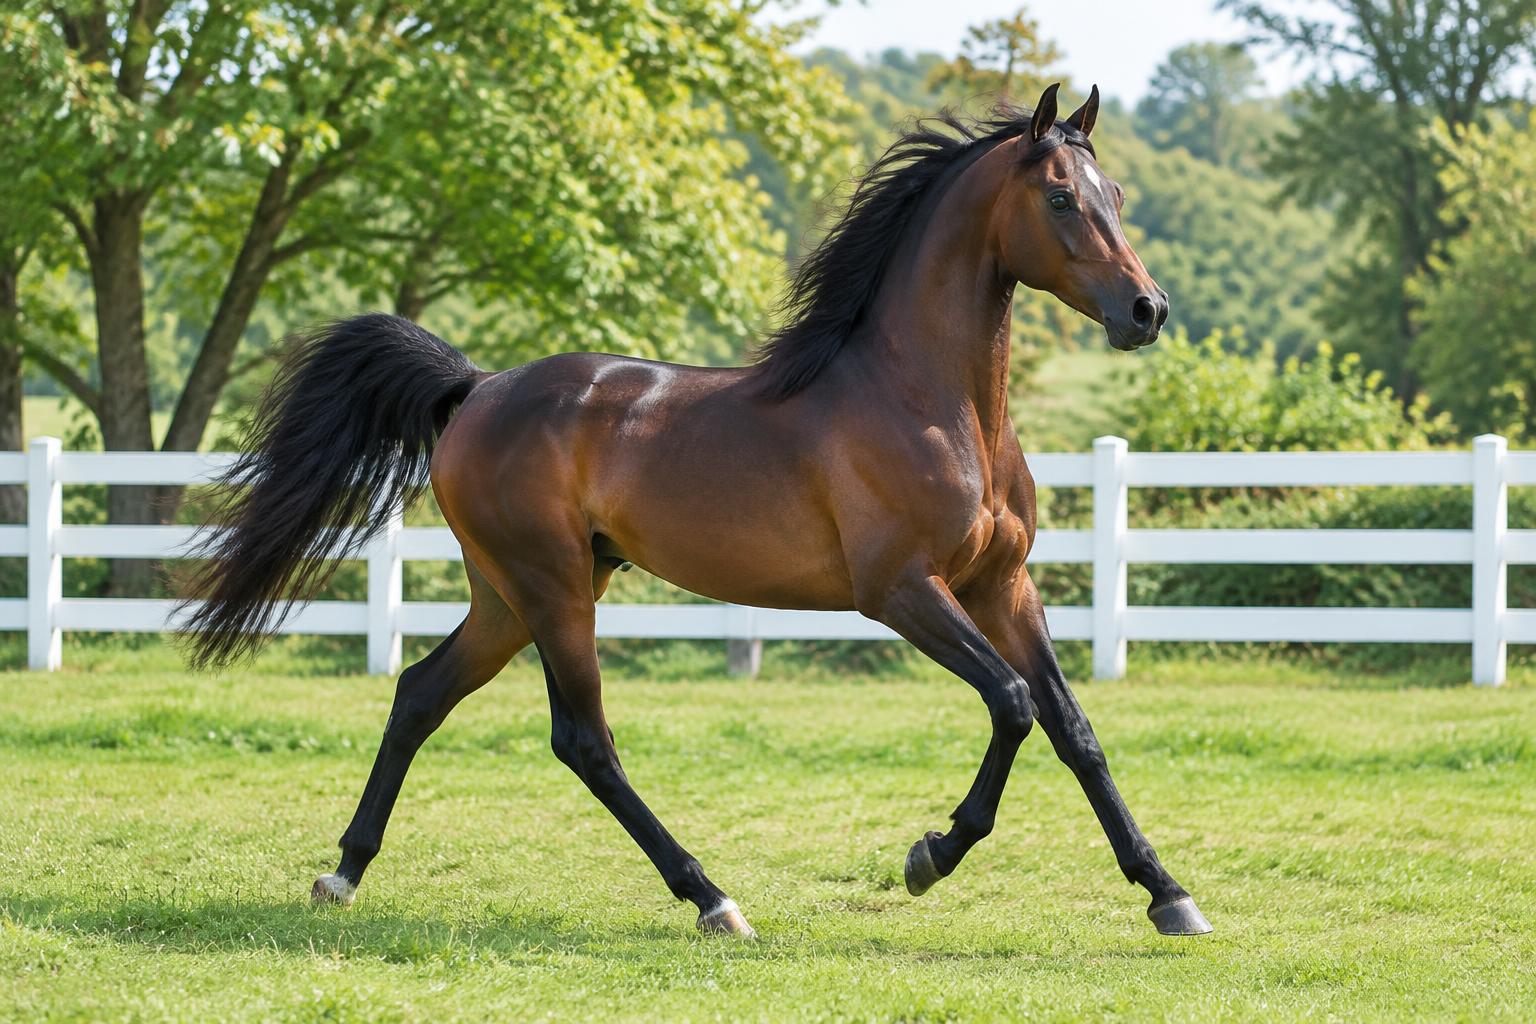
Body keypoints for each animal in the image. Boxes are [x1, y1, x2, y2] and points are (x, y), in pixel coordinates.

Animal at [181, 83, 1209, 939]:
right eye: (1062, 199)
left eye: (1117, 192)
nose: (1147, 310)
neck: (924, 400)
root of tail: (476, 389)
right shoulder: (902, 592)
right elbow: (1012, 704)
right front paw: (930, 855)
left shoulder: (1004, 586)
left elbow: (1073, 729)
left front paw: (1168, 895)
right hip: (553, 589)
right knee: (583, 741)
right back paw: (713, 899)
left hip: (512, 594)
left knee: (420, 693)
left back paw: (344, 874)